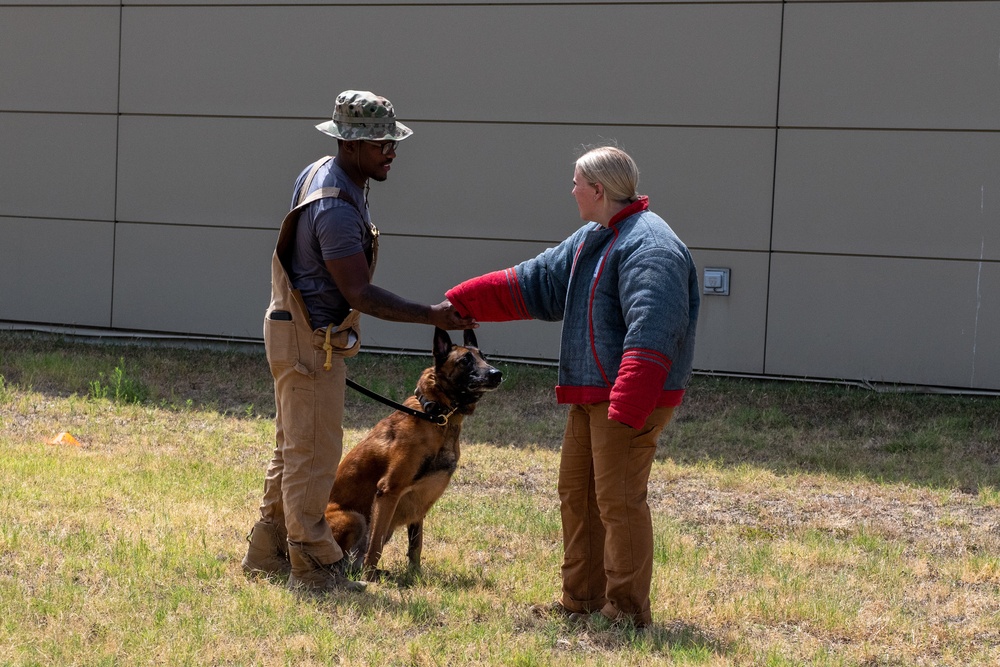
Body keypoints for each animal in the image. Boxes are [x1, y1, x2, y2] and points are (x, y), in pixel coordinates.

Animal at [326, 328, 504, 580]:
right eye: (464, 360)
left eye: (483, 357)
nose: (497, 374)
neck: (438, 417)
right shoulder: (388, 492)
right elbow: (375, 544)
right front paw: (369, 579)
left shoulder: (420, 499)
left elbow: (416, 544)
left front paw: (415, 575)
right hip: (355, 517)